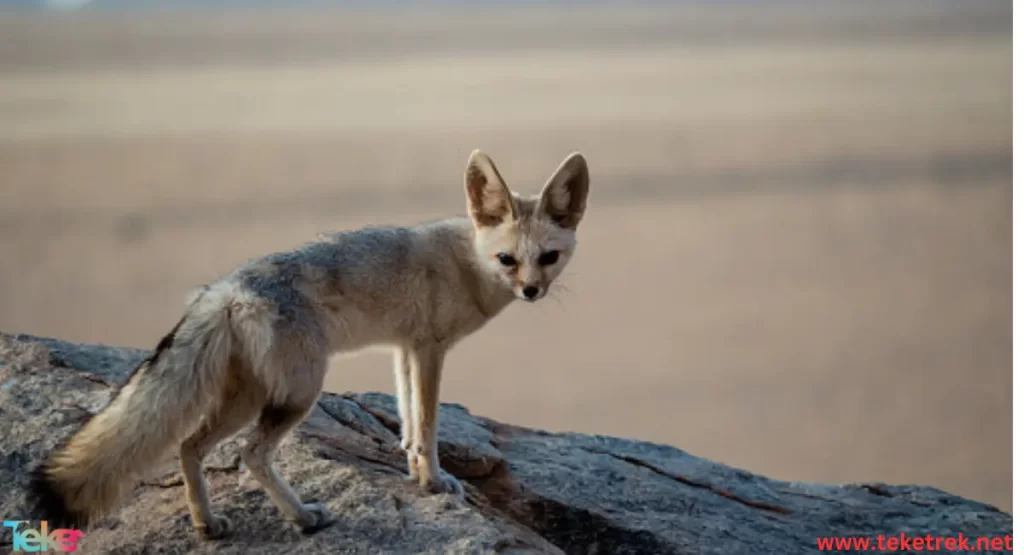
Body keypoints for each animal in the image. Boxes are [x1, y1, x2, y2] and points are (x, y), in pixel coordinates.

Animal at [28, 150, 593, 540]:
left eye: (547, 258)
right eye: (507, 260)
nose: (531, 291)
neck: (468, 261)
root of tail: (226, 288)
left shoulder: (405, 348)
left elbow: (409, 420)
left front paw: (413, 467)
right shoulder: (430, 349)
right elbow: (429, 423)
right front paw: (433, 481)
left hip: (248, 397)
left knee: (189, 445)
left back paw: (207, 524)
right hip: (297, 393)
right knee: (251, 455)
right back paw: (302, 517)